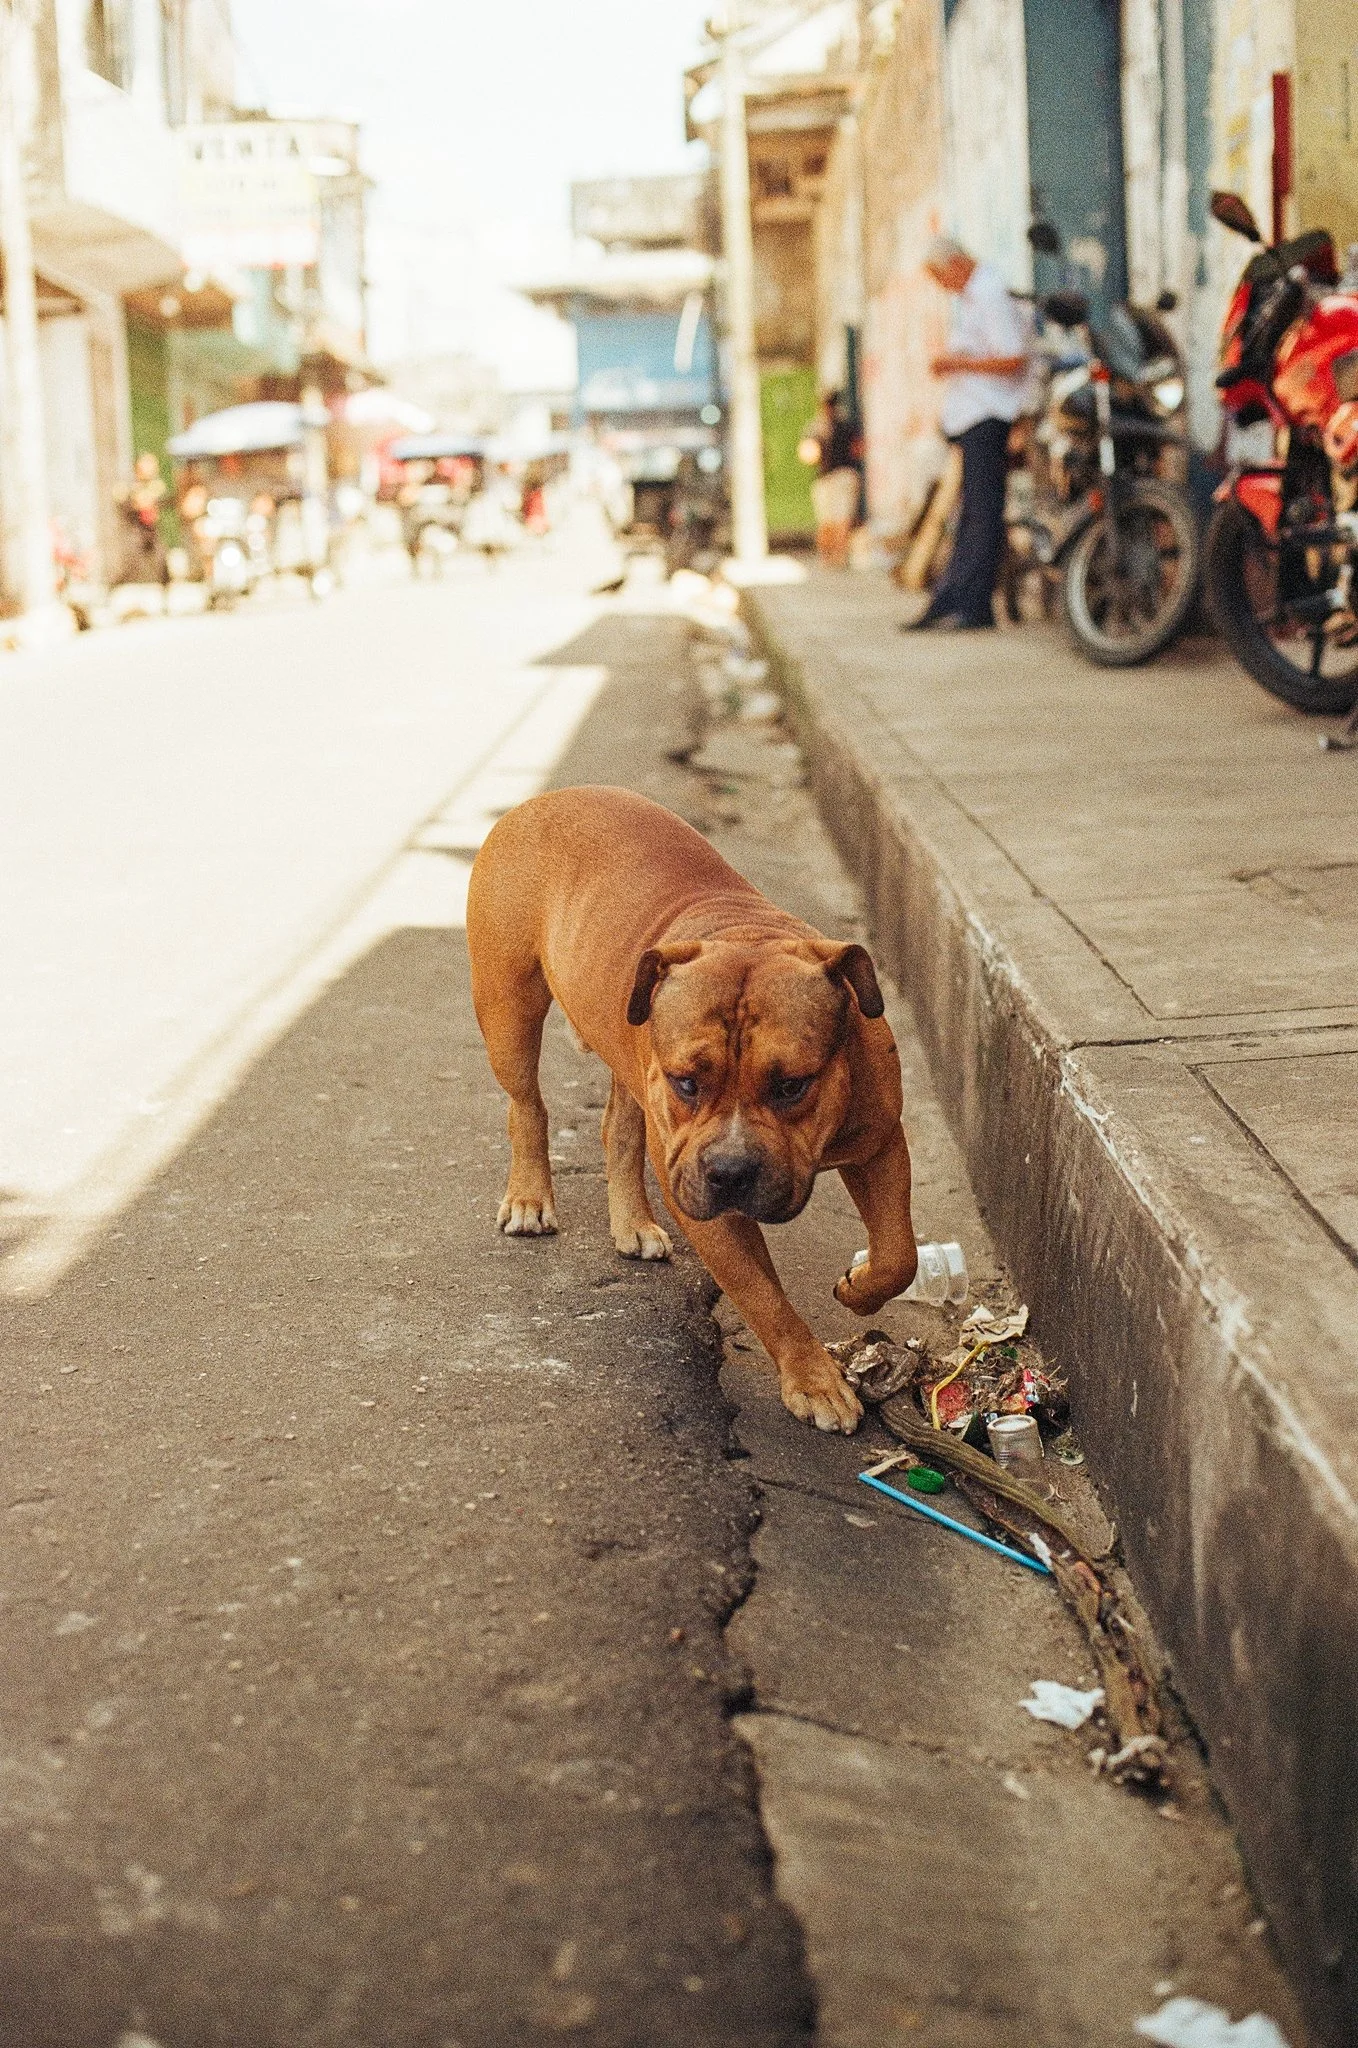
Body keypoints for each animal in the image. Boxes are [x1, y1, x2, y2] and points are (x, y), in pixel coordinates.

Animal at [466, 786, 918, 1432]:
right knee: (526, 1105)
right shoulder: (703, 1198)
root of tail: (546, 797)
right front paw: (815, 1381)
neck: (747, 933)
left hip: (625, 1049)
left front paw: (859, 1288)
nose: (730, 1170)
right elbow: (762, 1294)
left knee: (620, 1129)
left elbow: (899, 1253)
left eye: (793, 1086)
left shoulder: (879, 1143)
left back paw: (632, 1222)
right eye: (688, 1083)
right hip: (509, 1005)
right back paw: (530, 1198)